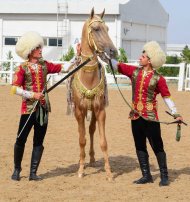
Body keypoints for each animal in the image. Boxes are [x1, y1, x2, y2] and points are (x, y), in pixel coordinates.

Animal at [70, 8, 117, 181]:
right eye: (96, 29)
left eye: (108, 29)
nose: (113, 51)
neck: (88, 77)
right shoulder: (79, 111)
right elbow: (81, 140)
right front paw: (80, 170)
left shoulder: (100, 111)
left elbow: (103, 141)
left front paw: (109, 172)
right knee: (82, 133)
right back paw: (82, 160)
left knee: (91, 130)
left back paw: (91, 158)